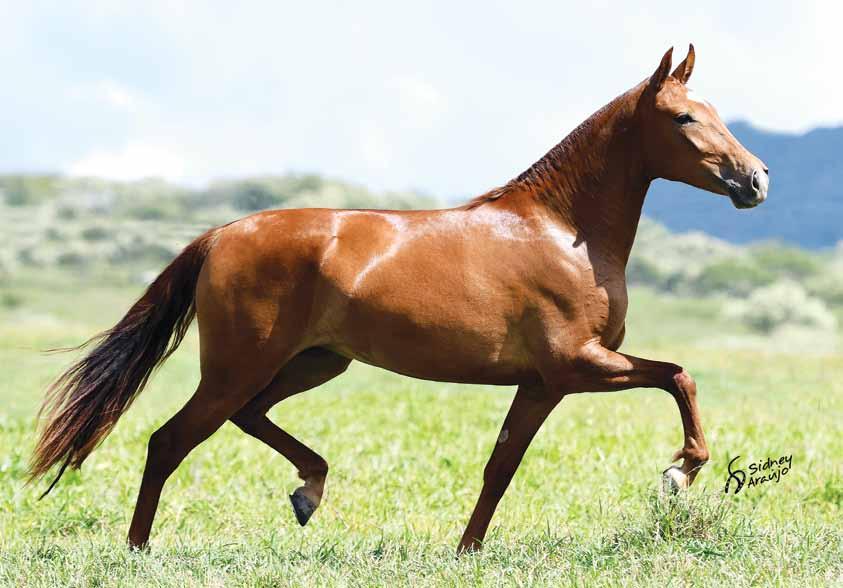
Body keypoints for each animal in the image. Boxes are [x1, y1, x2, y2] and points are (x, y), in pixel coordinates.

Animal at [31, 46, 772, 552]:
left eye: (713, 114)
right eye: (683, 118)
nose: (756, 180)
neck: (565, 231)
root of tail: (220, 236)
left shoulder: (542, 383)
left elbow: (500, 467)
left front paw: (467, 551)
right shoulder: (577, 364)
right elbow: (679, 375)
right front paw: (680, 473)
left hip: (314, 362)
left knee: (247, 417)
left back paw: (309, 491)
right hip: (242, 364)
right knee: (169, 441)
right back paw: (139, 547)